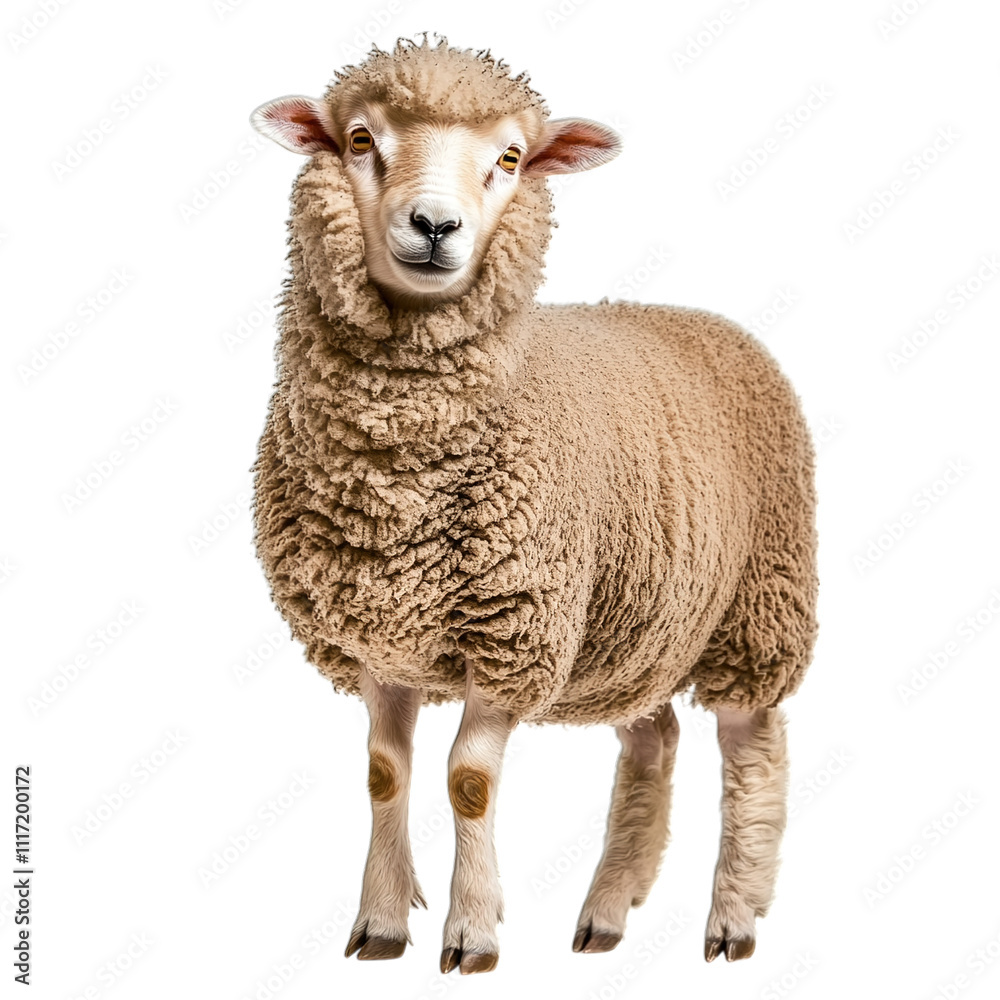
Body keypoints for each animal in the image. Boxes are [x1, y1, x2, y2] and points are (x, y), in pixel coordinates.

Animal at [249, 34, 819, 975]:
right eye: (361, 139)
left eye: (511, 158)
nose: (434, 227)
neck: (396, 482)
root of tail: (710, 321)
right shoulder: (378, 636)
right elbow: (384, 774)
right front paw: (381, 924)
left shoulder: (513, 629)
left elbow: (468, 782)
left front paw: (472, 934)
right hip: (637, 622)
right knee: (653, 741)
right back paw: (608, 912)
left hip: (759, 602)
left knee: (751, 748)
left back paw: (733, 920)